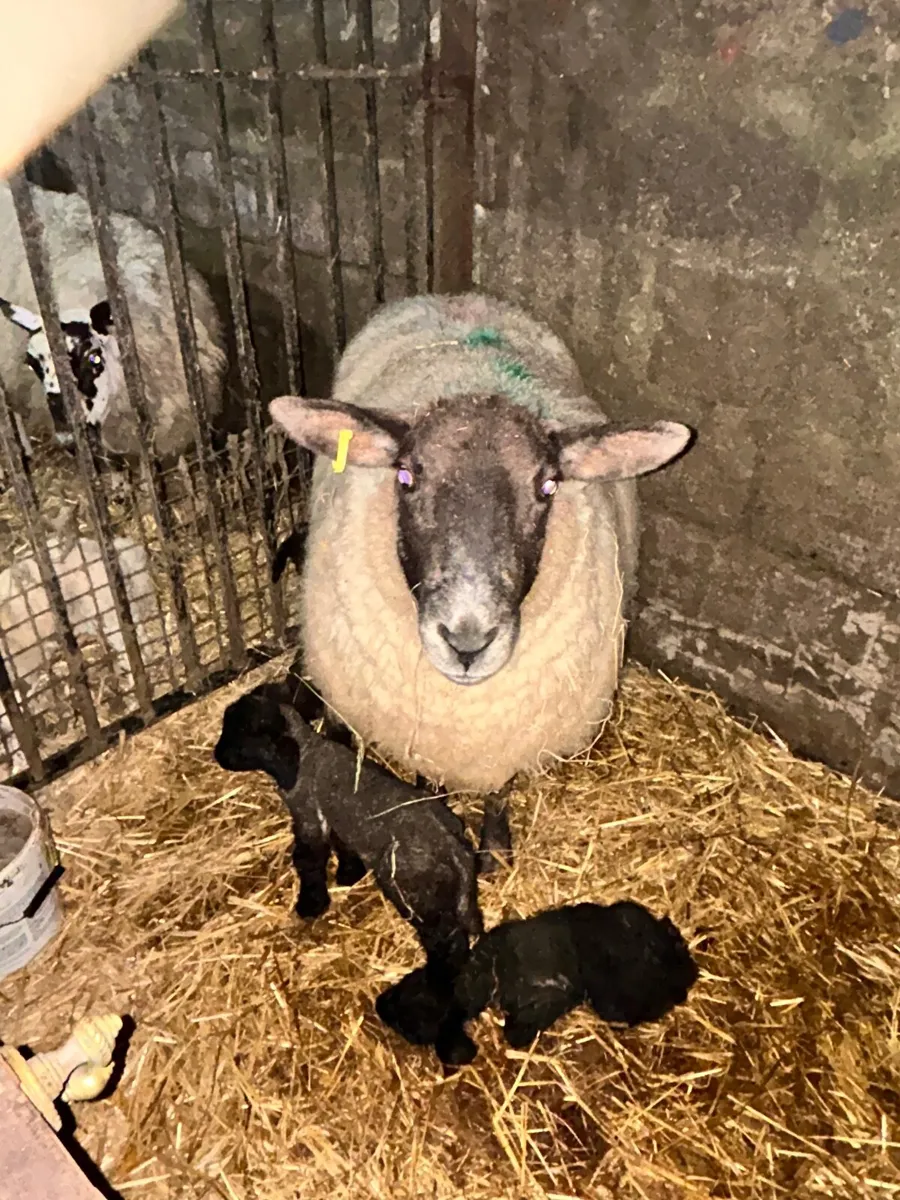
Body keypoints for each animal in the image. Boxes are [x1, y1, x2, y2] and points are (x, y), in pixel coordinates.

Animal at [213, 680, 483, 982]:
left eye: (241, 736)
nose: (217, 756)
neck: (306, 753)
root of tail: (455, 851)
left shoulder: (308, 814)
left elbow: (308, 859)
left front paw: (311, 904)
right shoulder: (336, 816)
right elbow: (343, 843)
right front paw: (348, 874)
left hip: (418, 899)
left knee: (447, 941)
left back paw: (438, 980)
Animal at [268, 292, 694, 868]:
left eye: (548, 485)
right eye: (406, 475)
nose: (467, 643)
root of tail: (456, 297)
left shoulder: (504, 736)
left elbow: (499, 792)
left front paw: (493, 850)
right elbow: (425, 781)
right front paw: (435, 810)